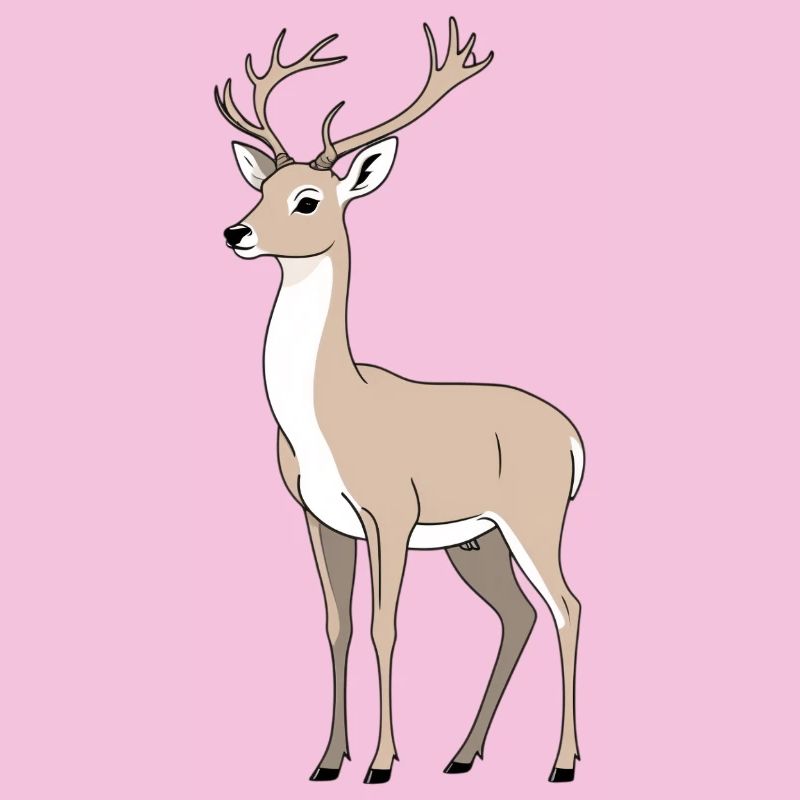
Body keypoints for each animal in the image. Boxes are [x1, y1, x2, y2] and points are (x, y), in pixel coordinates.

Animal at [215, 18, 584, 786]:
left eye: (308, 199)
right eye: (265, 188)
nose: (235, 231)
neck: (331, 414)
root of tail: (573, 437)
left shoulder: (390, 512)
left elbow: (386, 626)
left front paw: (382, 763)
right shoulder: (319, 518)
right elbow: (338, 626)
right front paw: (327, 761)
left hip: (534, 518)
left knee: (567, 606)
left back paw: (562, 762)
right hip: (478, 539)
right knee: (519, 615)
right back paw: (463, 755)